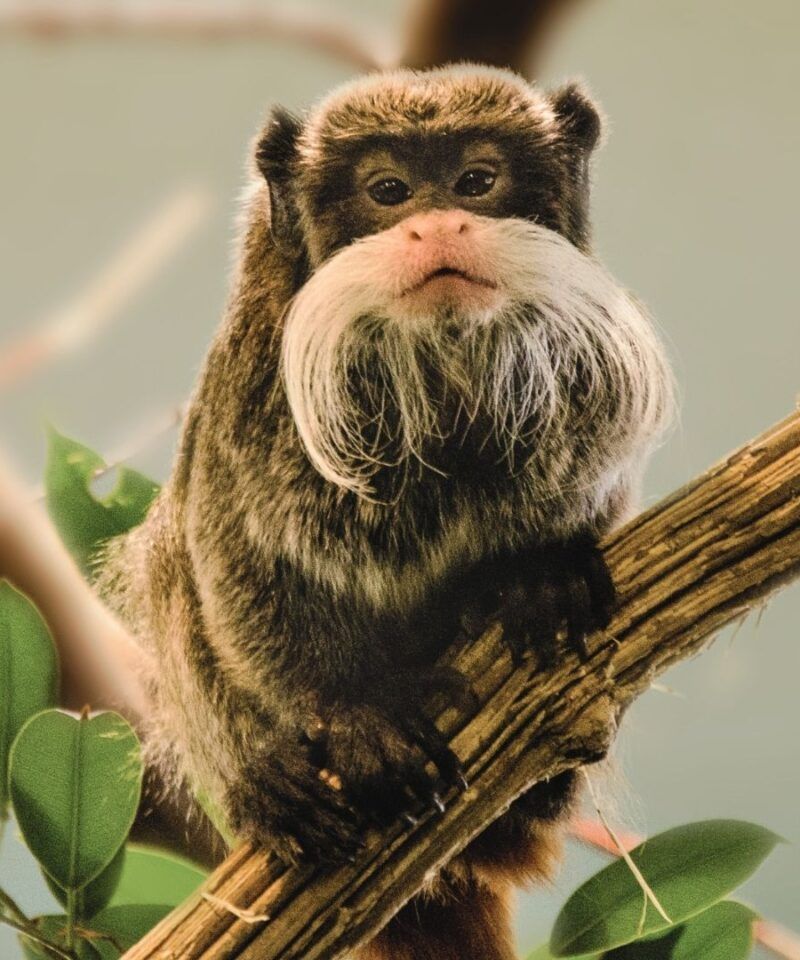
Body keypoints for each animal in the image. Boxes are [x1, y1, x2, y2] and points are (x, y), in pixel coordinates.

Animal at [99, 64, 674, 960]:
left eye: (476, 181)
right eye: (389, 191)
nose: (437, 224)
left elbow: (593, 505)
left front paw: (538, 577)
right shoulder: (254, 391)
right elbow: (235, 562)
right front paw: (348, 720)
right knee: (169, 563)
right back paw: (274, 784)